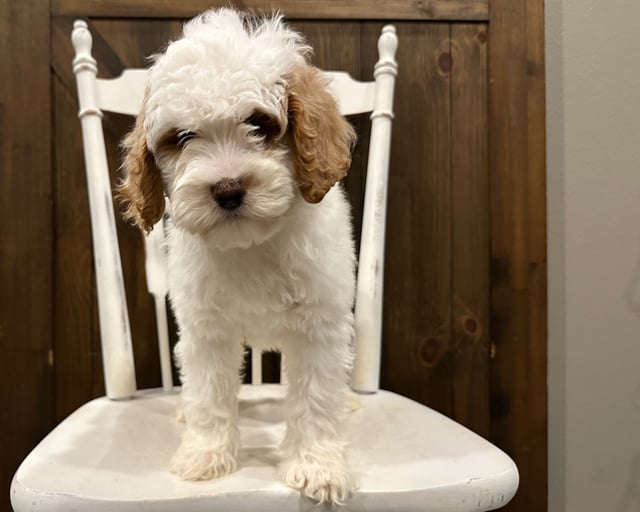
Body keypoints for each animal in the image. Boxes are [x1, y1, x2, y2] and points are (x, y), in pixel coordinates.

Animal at [117, 8, 358, 504]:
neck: (250, 243)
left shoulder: (320, 325)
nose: (227, 189)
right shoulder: (206, 329)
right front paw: (206, 456)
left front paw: (319, 467)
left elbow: (316, 398)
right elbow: (210, 394)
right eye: (182, 136)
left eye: (260, 124)